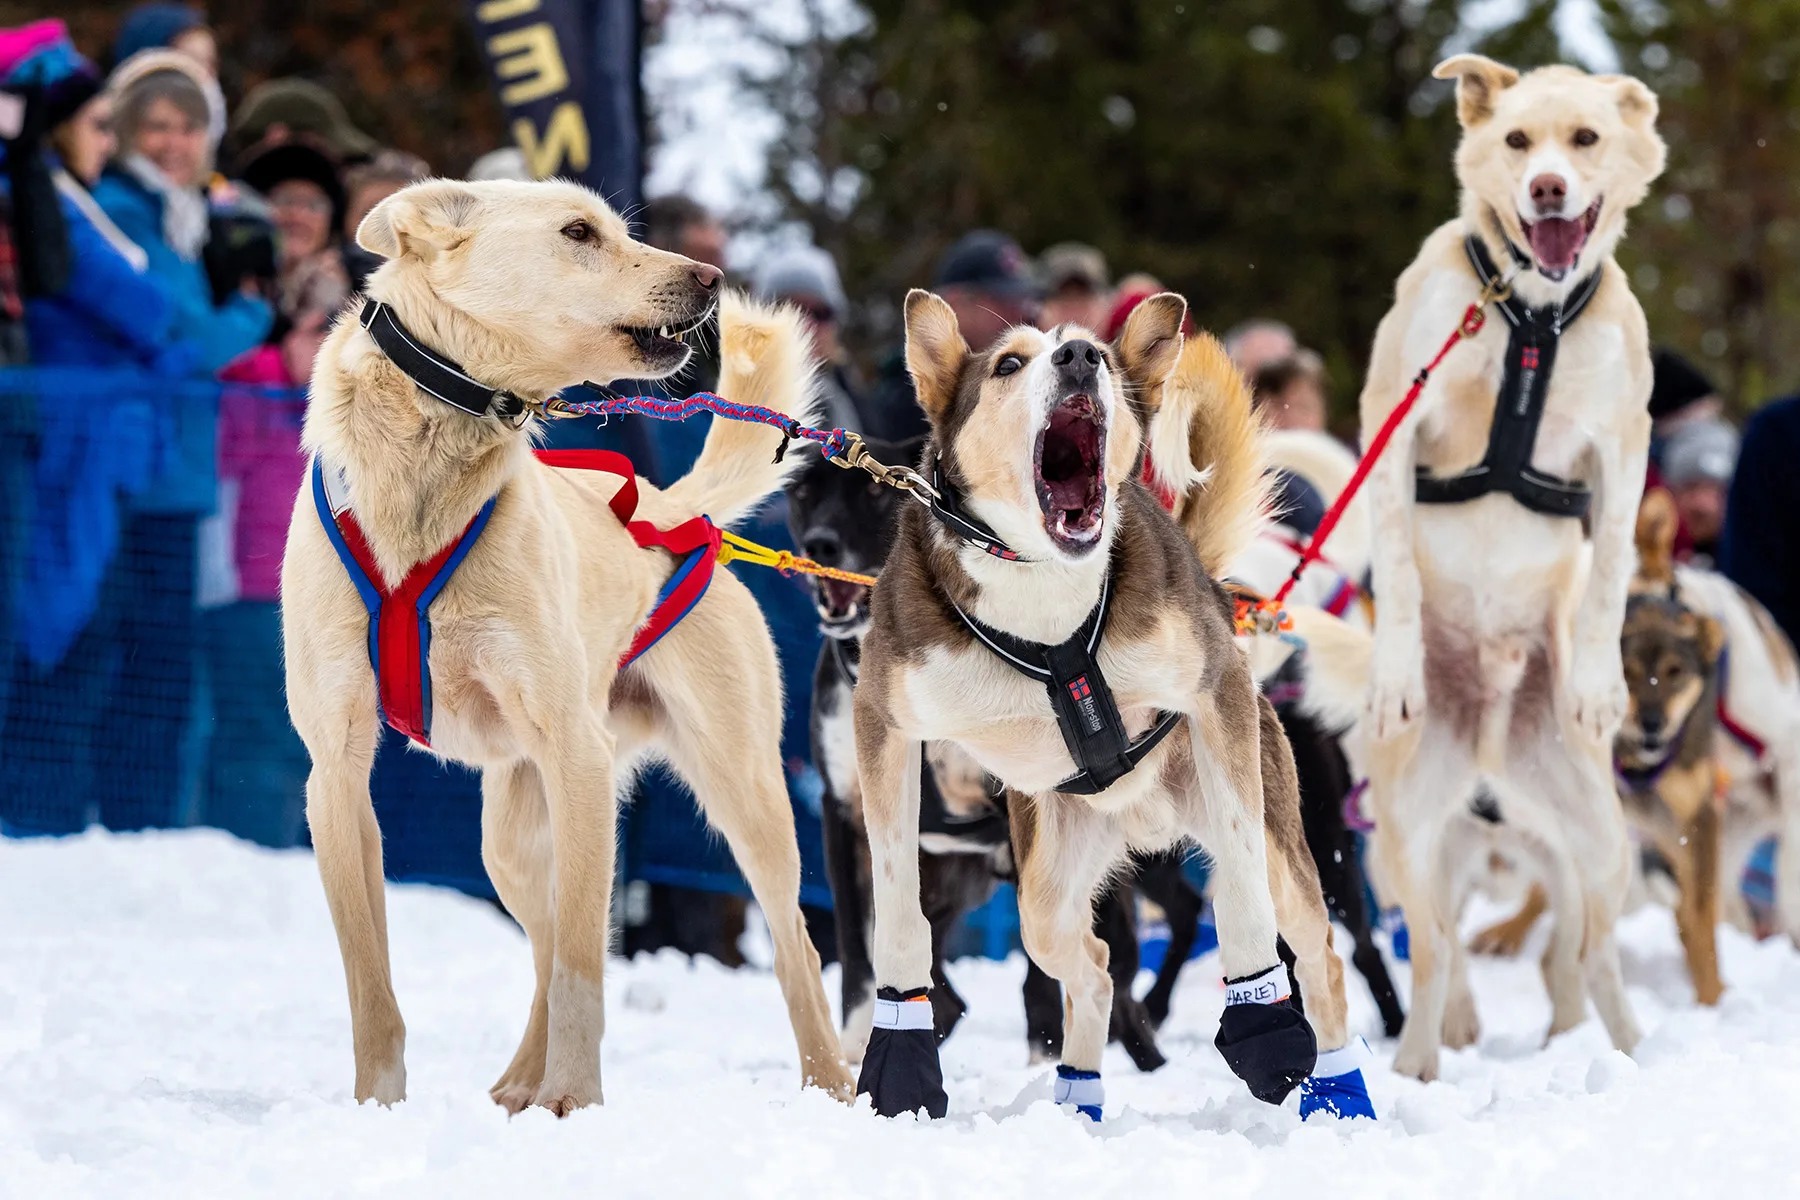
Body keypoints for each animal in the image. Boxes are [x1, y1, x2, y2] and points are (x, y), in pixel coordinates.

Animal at [279, 176, 849, 1115]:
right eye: (579, 233)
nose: (709, 275)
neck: (427, 482)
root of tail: (672, 510)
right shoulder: (337, 773)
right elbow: (373, 982)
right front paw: (378, 1109)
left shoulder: (575, 757)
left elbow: (588, 966)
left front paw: (576, 1103)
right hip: (512, 840)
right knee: (544, 942)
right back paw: (518, 1081)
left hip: (740, 796)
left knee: (792, 945)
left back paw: (832, 1087)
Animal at [784, 440, 1195, 1072]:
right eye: (805, 493)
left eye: (875, 494)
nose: (820, 543)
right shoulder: (845, 811)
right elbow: (859, 942)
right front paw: (855, 1046)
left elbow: (1041, 964)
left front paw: (1045, 1050)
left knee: (1136, 950)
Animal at [849, 295, 1368, 1122]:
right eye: (1009, 363)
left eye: (1091, 347)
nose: (1079, 359)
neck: (1044, 596)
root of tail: (1139, 821)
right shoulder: (885, 722)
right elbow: (899, 904)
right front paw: (902, 1059)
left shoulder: (1216, 690)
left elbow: (1243, 887)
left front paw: (1261, 1021)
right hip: (1045, 893)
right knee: (1089, 965)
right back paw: (1076, 1100)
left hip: (1268, 818)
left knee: (1316, 950)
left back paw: (1344, 1093)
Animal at [1353, 61, 1663, 1086]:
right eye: (1519, 142)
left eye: (1586, 139)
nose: (1549, 189)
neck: (1531, 316)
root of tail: (1489, 739)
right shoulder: (1394, 415)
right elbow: (1396, 566)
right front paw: (1395, 672)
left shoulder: (1624, 442)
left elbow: (1609, 571)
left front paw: (1600, 683)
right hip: (1406, 839)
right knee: (1437, 952)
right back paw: (1415, 1067)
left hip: (1599, 836)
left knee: (1592, 951)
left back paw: (1629, 1053)